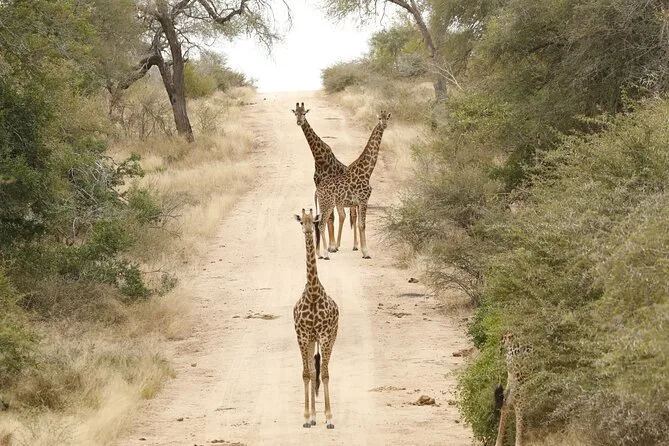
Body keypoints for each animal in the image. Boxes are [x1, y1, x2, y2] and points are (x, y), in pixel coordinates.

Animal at [292, 102, 359, 253]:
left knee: (353, 215)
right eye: (295, 113)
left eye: (304, 113)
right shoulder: (319, 186)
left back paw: (355, 245)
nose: (299, 122)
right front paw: (329, 245)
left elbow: (331, 217)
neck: (320, 159)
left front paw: (332, 245)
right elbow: (327, 217)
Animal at [315, 111, 391, 260]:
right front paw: (366, 253)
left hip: (324, 205)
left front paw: (362, 250)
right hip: (328, 204)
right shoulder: (363, 200)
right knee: (321, 225)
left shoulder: (358, 202)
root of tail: (316, 191)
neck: (367, 171)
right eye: (379, 118)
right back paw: (326, 253)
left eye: (387, 118)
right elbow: (362, 225)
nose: (384, 125)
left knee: (319, 224)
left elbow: (359, 224)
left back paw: (319, 254)